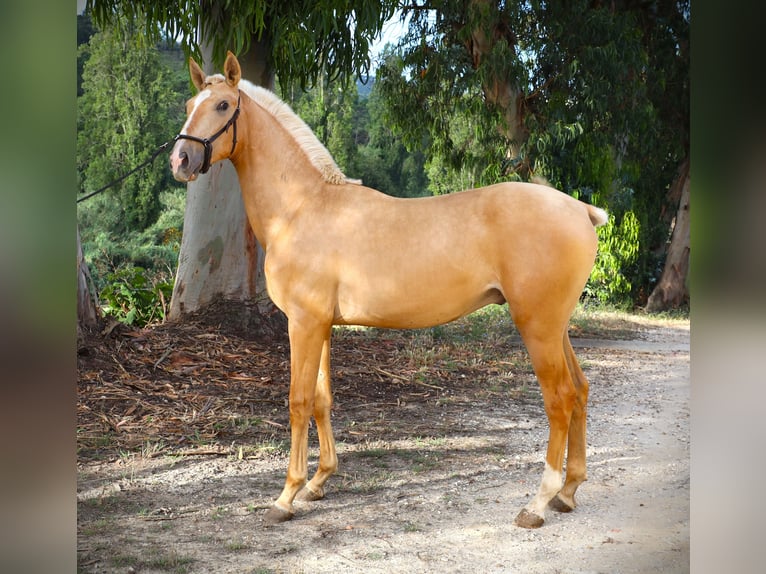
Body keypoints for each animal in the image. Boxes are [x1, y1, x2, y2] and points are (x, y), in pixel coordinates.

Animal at [171, 53, 608, 532]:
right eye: (190, 103)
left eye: (224, 105)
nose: (181, 159)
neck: (302, 208)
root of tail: (580, 210)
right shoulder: (322, 326)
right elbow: (322, 399)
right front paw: (317, 484)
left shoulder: (302, 324)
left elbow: (298, 402)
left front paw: (286, 496)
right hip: (556, 327)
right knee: (580, 391)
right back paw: (567, 492)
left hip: (537, 327)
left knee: (560, 400)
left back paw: (538, 502)